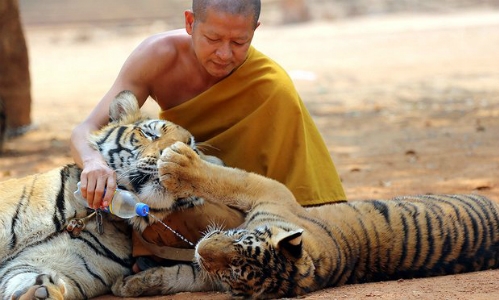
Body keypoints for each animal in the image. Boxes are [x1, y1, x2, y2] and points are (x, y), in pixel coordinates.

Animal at [0, 91, 242, 300]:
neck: (91, 214)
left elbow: (23, 276)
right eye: (150, 134)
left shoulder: (60, 264)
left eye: (192, 149)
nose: (171, 155)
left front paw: (39, 292)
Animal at [112, 141, 499, 300]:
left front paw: (178, 163)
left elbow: (226, 179)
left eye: (234, 271)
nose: (203, 249)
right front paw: (131, 285)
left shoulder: (268, 190)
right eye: (237, 243)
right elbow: (177, 275)